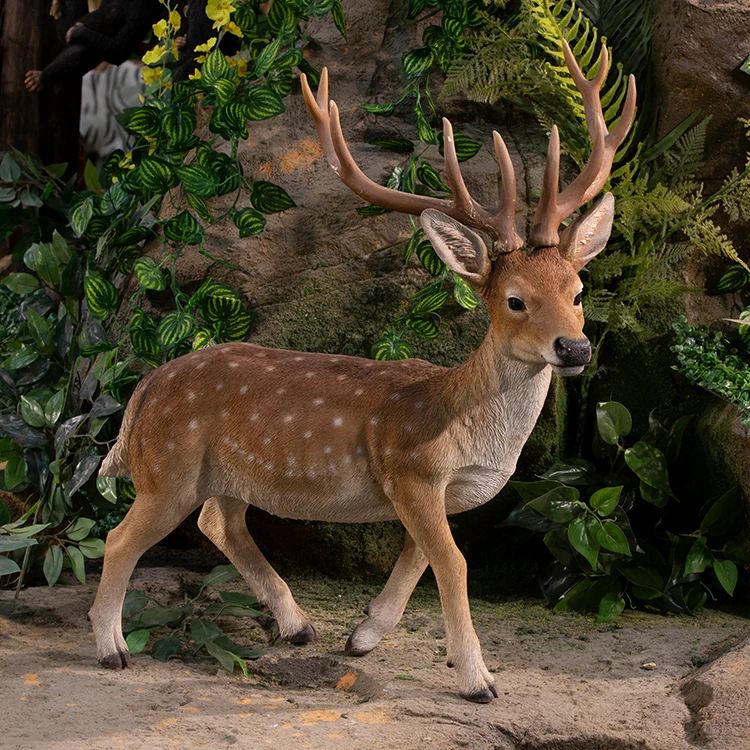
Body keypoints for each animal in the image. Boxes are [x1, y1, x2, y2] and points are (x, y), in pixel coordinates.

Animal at [89, 40, 635, 703]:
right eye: (514, 300)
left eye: (578, 291)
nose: (574, 348)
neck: (465, 424)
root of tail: (143, 388)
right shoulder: (412, 469)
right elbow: (453, 563)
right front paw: (477, 677)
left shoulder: (435, 490)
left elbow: (419, 558)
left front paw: (363, 635)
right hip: (167, 467)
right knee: (121, 537)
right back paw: (112, 649)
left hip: (222, 474)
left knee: (221, 521)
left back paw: (298, 625)